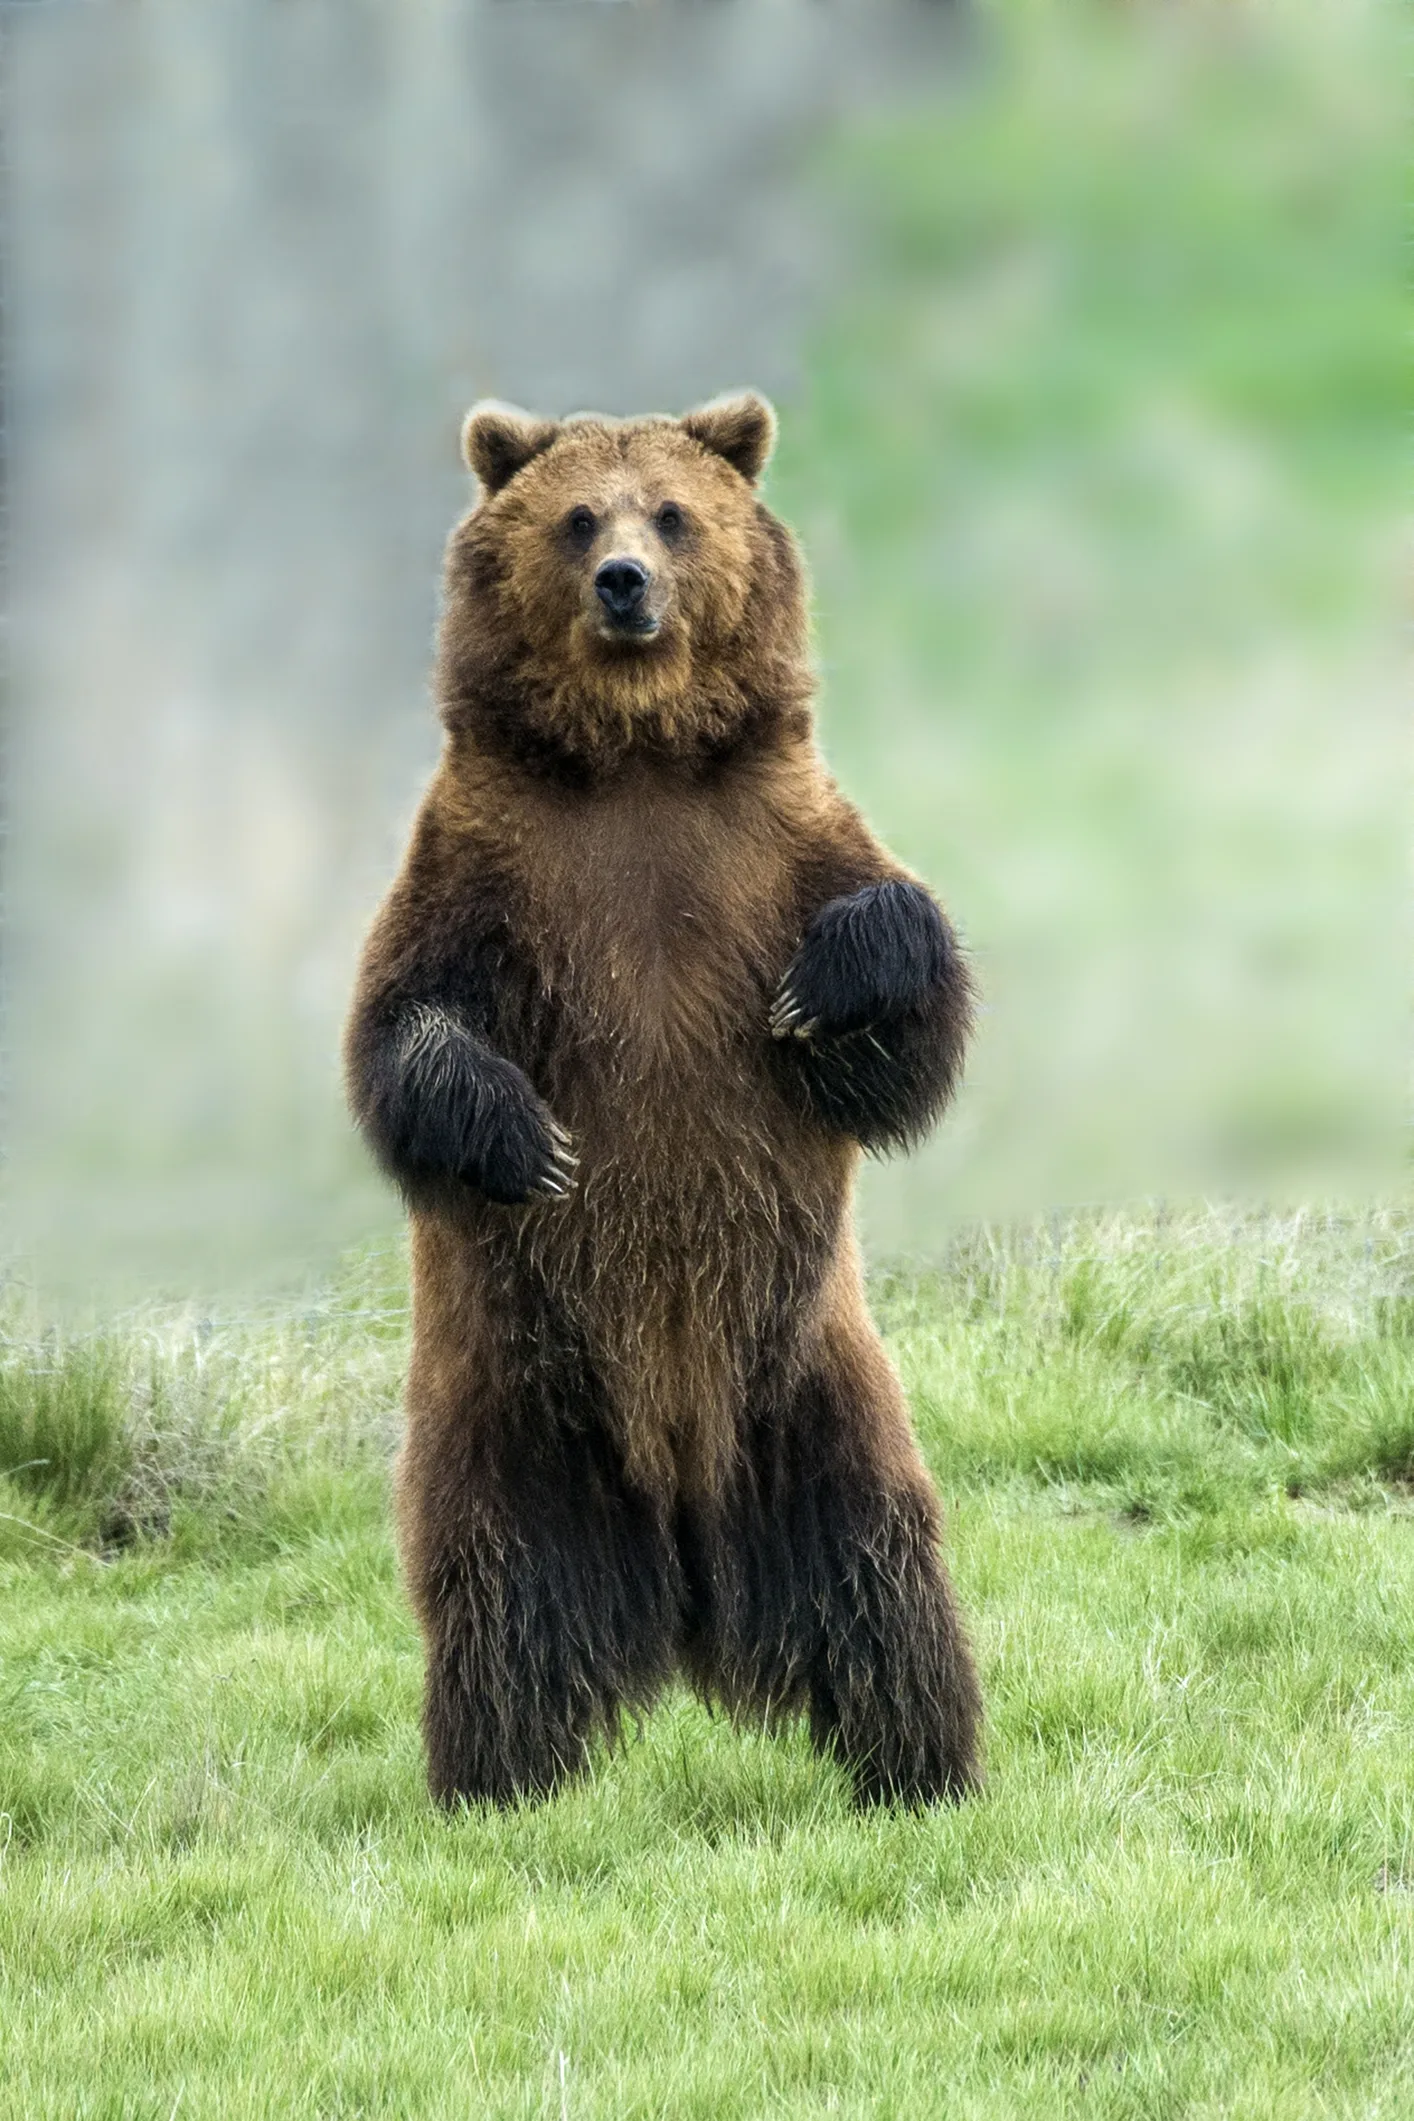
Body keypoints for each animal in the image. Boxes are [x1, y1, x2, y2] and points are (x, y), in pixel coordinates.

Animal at [345, 391, 982, 1808]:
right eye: (579, 516)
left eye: (675, 513)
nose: (625, 582)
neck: (634, 759)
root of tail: (689, 1573)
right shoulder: (481, 867)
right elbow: (402, 1034)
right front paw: (527, 1142)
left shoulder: (778, 838)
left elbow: (905, 1014)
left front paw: (828, 988)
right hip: (518, 1398)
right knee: (505, 1597)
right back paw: (499, 1782)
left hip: (811, 1394)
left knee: (880, 1575)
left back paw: (921, 1765)